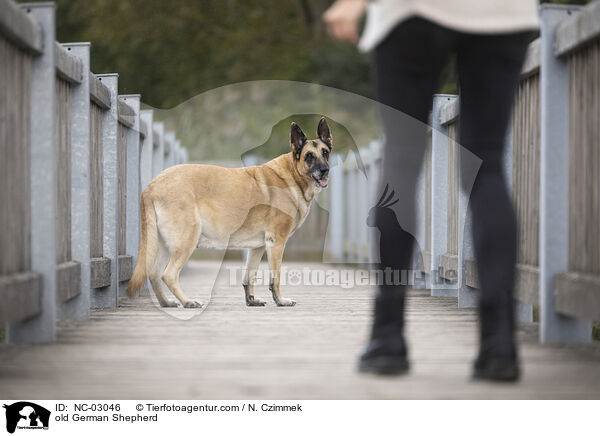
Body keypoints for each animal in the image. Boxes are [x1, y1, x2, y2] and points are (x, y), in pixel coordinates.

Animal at [127, 116, 332, 306]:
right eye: (309, 156)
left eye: (325, 152)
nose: (325, 170)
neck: (293, 174)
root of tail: (153, 185)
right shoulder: (276, 242)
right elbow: (275, 278)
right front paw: (280, 300)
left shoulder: (257, 247)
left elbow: (249, 276)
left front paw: (251, 300)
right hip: (186, 240)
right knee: (168, 275)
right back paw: (188, 302)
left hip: (164, 245)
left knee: (154, 274)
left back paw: (166, 303)